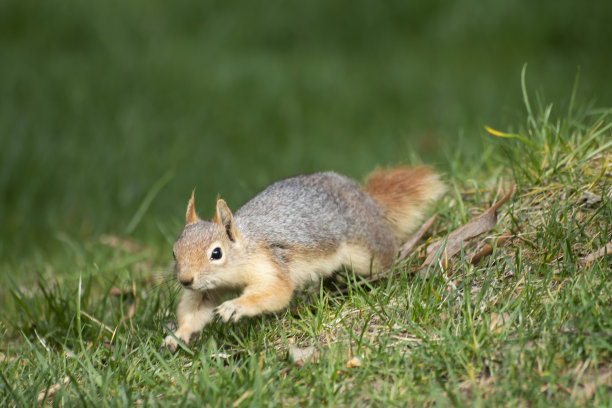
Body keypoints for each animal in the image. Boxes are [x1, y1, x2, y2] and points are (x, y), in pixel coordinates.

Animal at [163, 166, 442, 350]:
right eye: (174, 252)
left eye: (216, 253)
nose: (185, 280)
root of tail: (366, 199)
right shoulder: (206, 290)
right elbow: (194, 311)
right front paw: (178, 335)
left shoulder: (269, 261)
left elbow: (276, 291)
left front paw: (236, 307)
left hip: (368, 249)